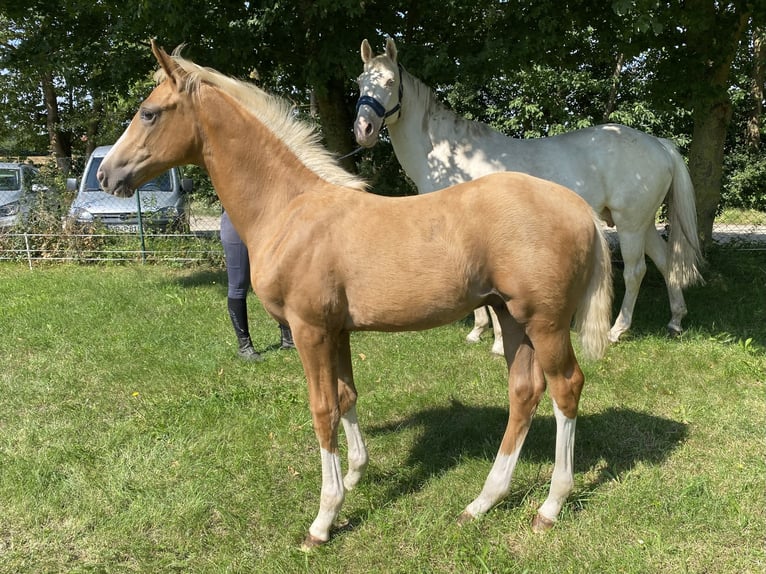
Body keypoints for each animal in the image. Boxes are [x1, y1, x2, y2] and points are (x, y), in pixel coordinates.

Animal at [356, 38, 704, 354]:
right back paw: (675, 321)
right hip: (643, 225)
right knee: (666, 263)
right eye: (360, 81)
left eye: (390, 81)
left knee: (635, 272)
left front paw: (498, 342)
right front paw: (478, 331)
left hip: (629, 225)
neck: (449, 155)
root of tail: (658, 144)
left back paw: (617, 331)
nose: (364, 129)